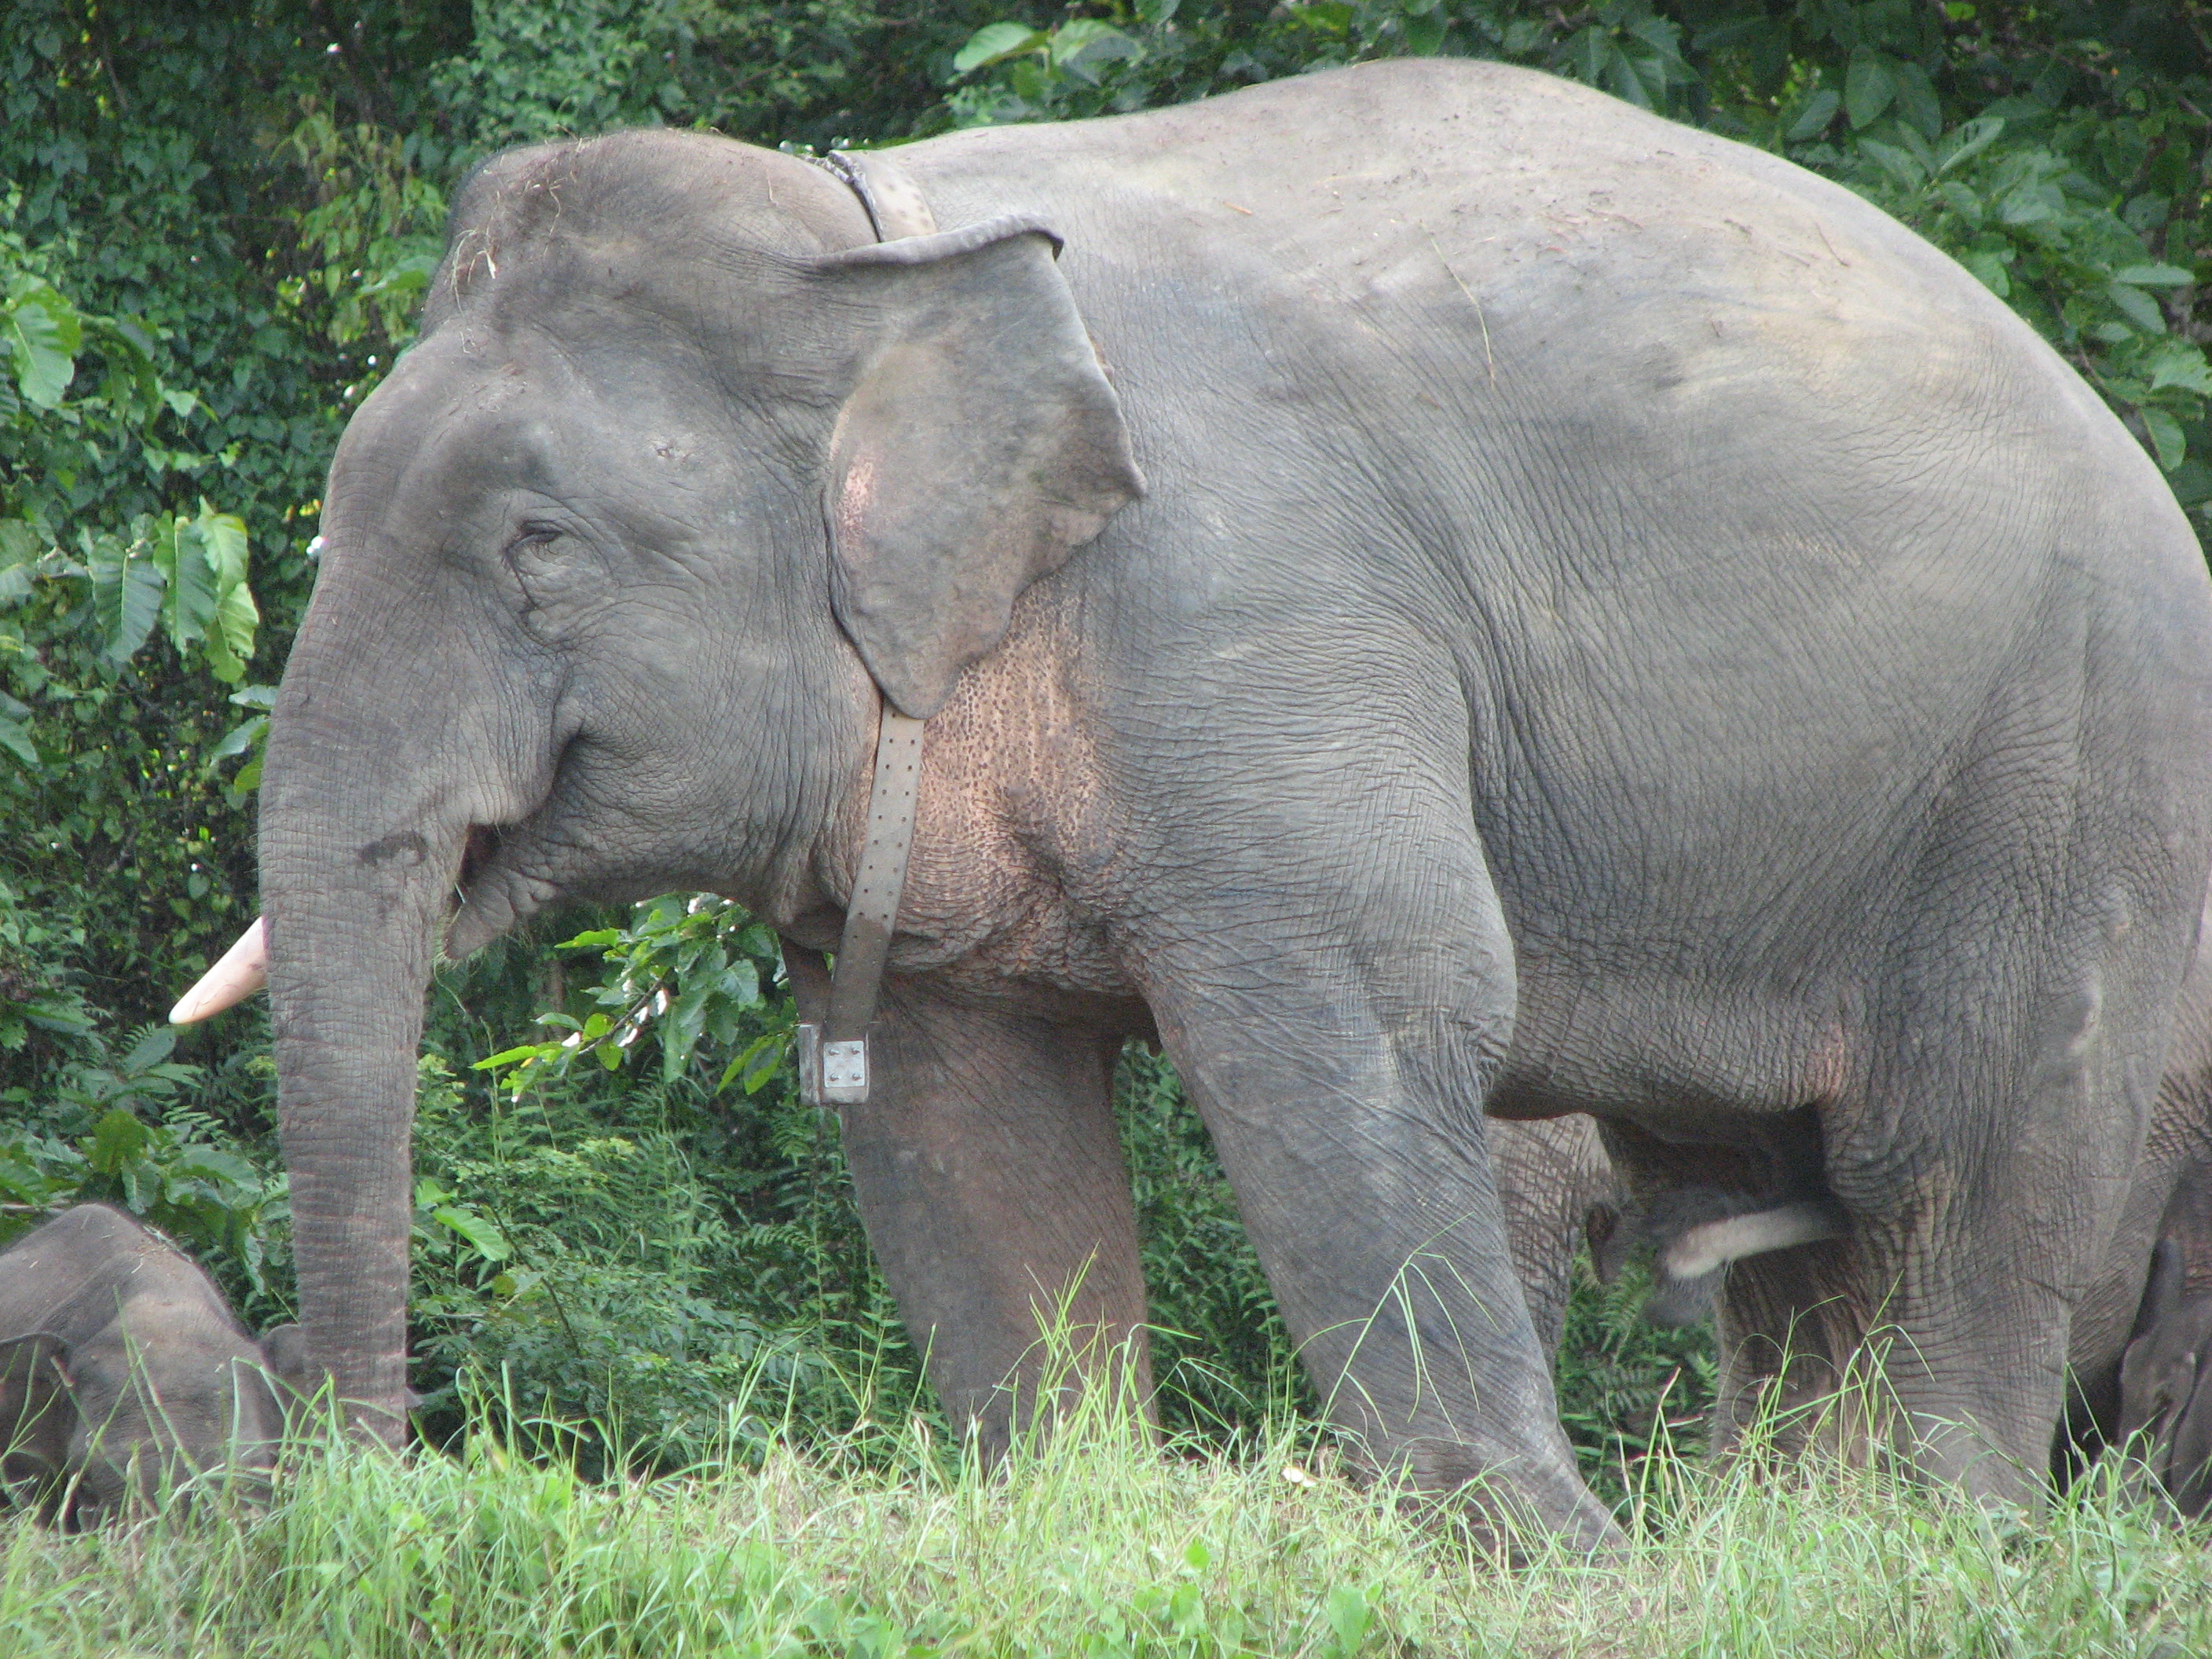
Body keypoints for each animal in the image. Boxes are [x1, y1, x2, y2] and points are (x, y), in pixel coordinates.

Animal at [170, 57, 2212, 1548]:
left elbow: (1363, 1012)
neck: (880, 249)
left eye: (538, 548)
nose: (365, 1488)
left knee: (1967, 1170)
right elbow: (959, 1105)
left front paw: (1550, 1566)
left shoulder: (1261, 621)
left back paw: (1930, 1549)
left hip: (2069, 779)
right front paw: (1078, 1517)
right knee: (1796, 1224)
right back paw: (1794, 1553)